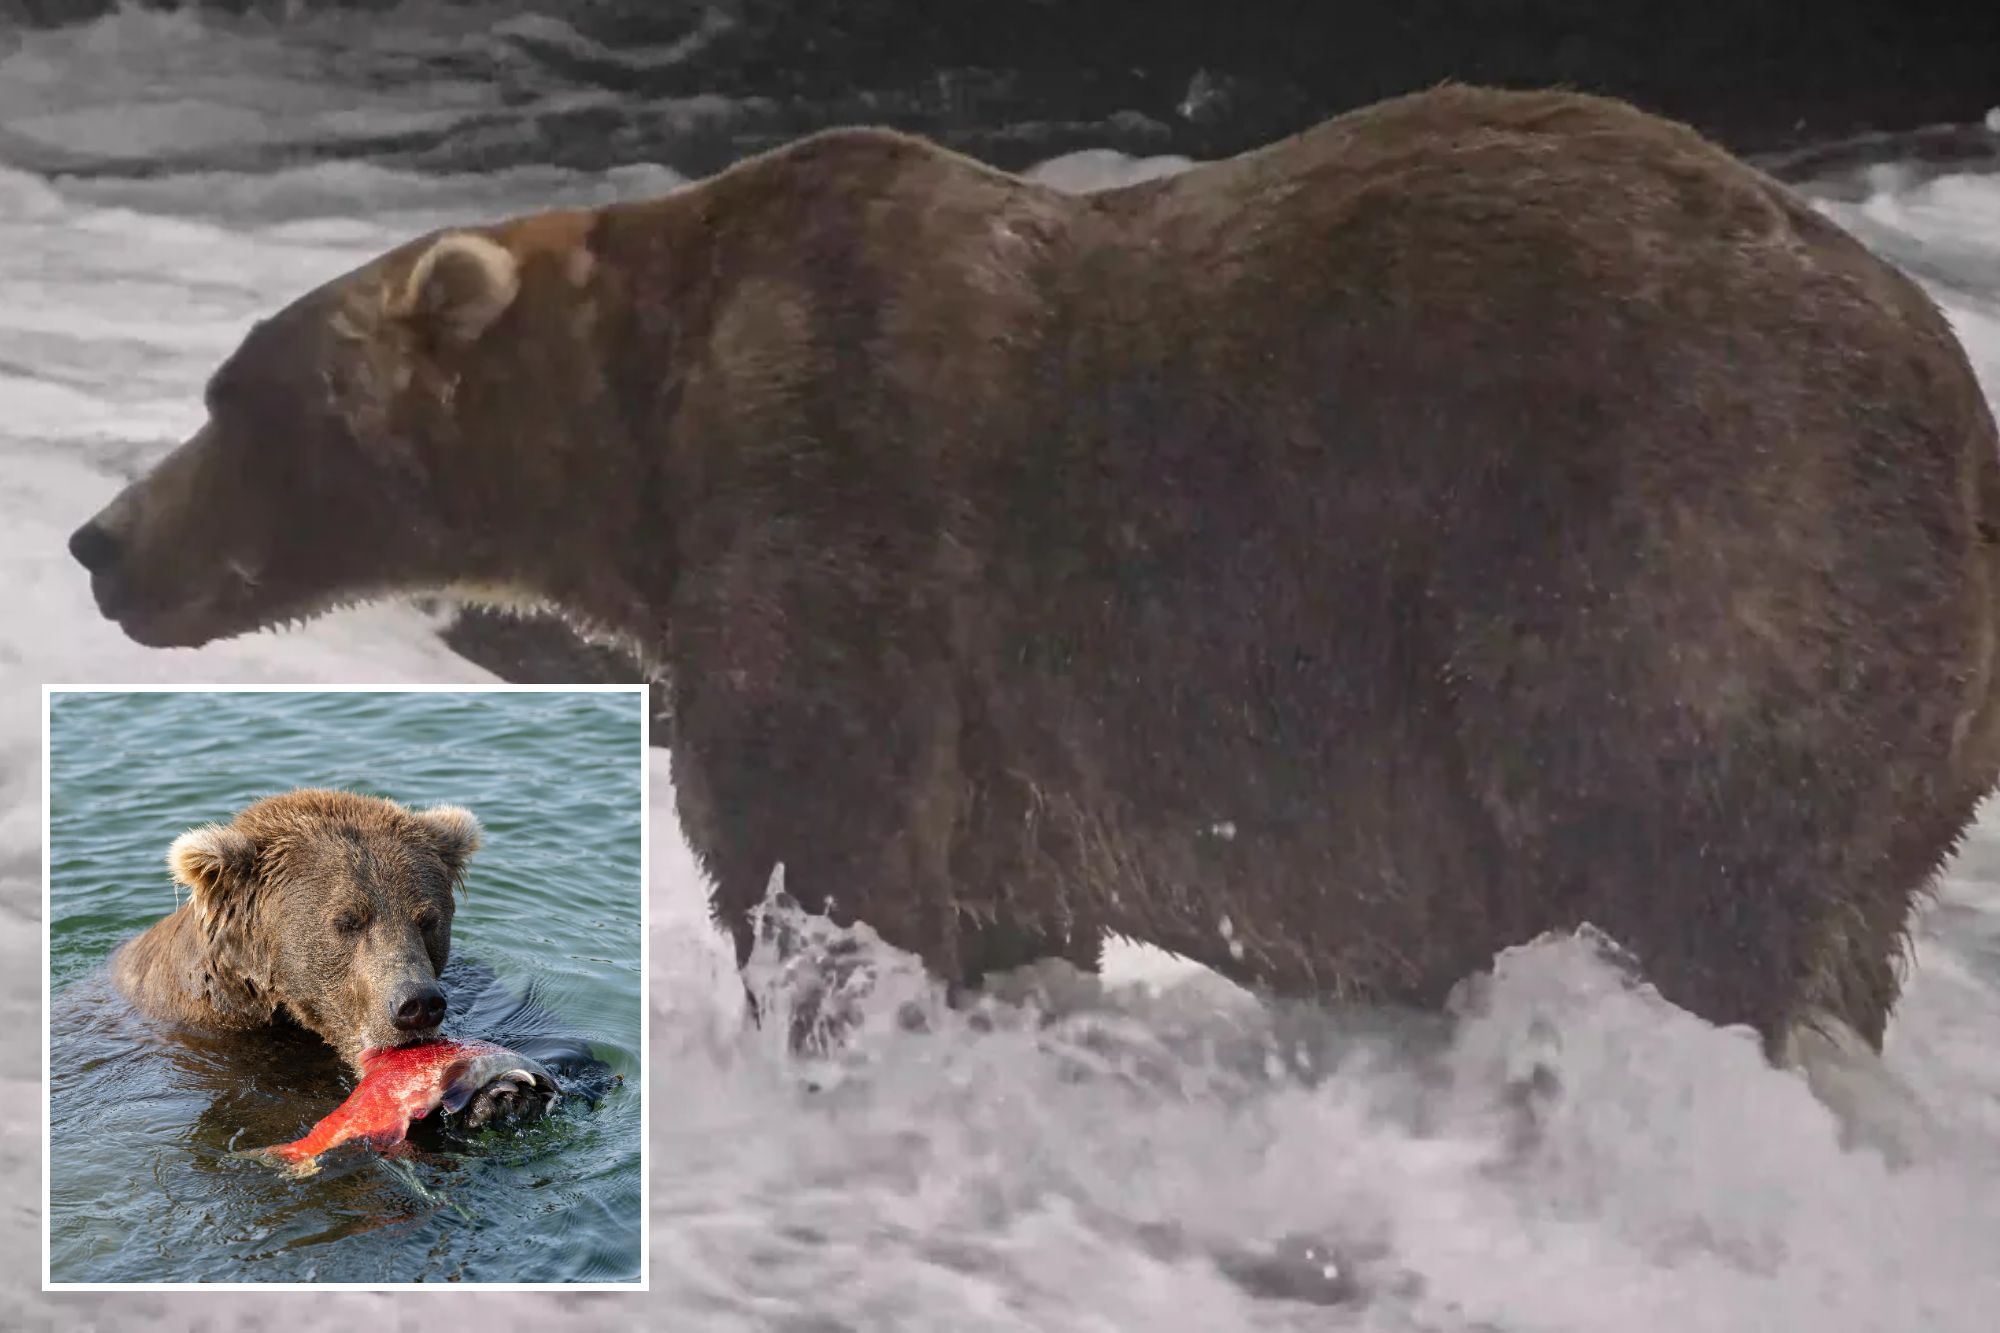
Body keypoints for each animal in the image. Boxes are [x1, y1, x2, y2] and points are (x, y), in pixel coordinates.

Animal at [69, 84, 2000, 1060]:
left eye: (234, 396)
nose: (99, 541)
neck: (640, 435)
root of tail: (1959, 411)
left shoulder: (843, 498)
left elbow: (822, 830)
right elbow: (993, 889)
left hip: (1677, 543)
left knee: (1672, 853)